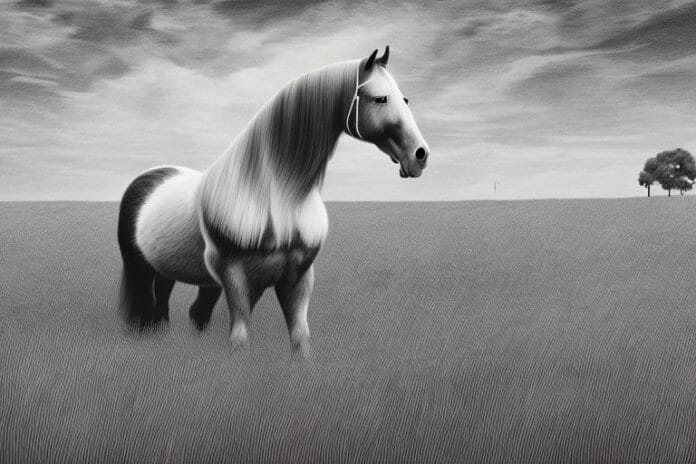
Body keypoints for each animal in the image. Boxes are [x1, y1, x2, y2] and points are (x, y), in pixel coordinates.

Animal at [117, 46, 429, 356]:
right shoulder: (235, 275)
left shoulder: (297, 276)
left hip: (169, 269)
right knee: (147, 306)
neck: (276, 197)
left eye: (405, 99)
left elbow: (300, 338)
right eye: (380, 98)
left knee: (172, 303)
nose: (420, 155)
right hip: (139, 267)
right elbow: (240, 335)